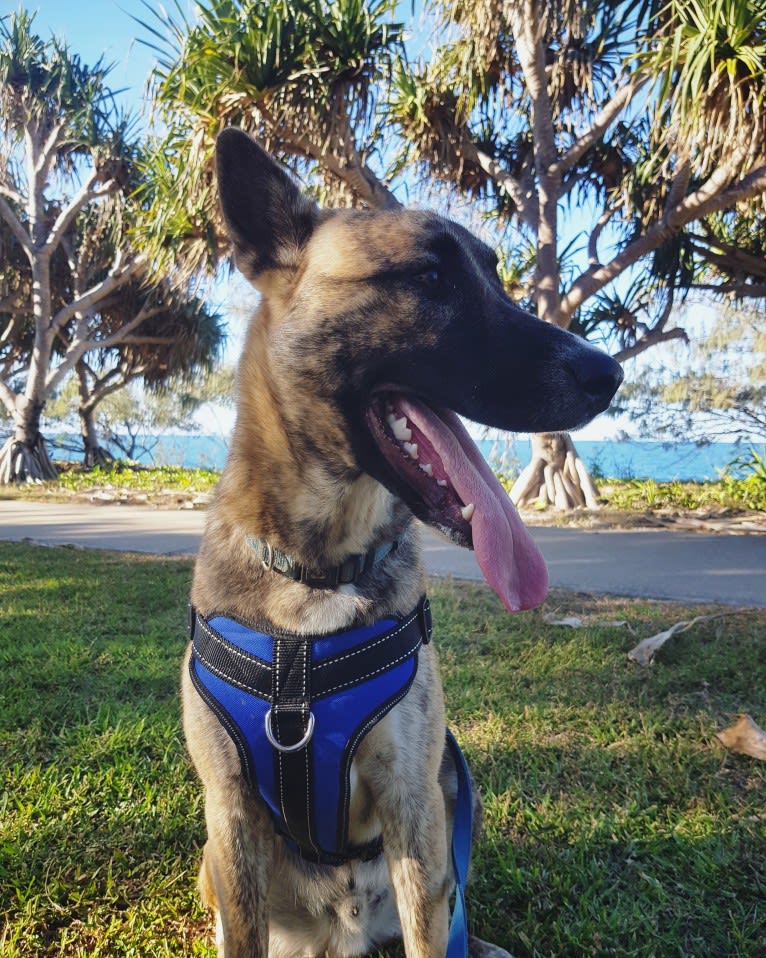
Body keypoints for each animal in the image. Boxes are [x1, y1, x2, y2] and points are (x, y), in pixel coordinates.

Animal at [184, 129, 624, 958]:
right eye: (428, 277)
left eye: (497, 277)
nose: (609, 372)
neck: (321, 574)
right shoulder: (229, 812)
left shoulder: (413, 804)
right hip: (216, 867)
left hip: (442, 837)